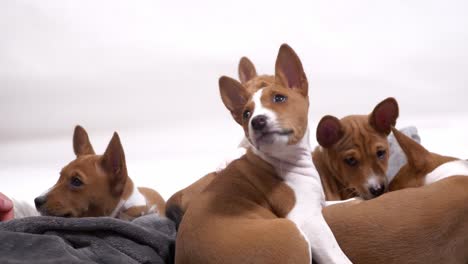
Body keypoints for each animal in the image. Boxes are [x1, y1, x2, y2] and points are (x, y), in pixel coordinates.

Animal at [176, 44, 352, 264]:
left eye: (279, 98)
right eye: (246, 114)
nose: (257, 121)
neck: (286, 159)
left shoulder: (318, 203)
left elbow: (346, 201)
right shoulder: (308, 219)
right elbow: (338, 256)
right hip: (292, 233)